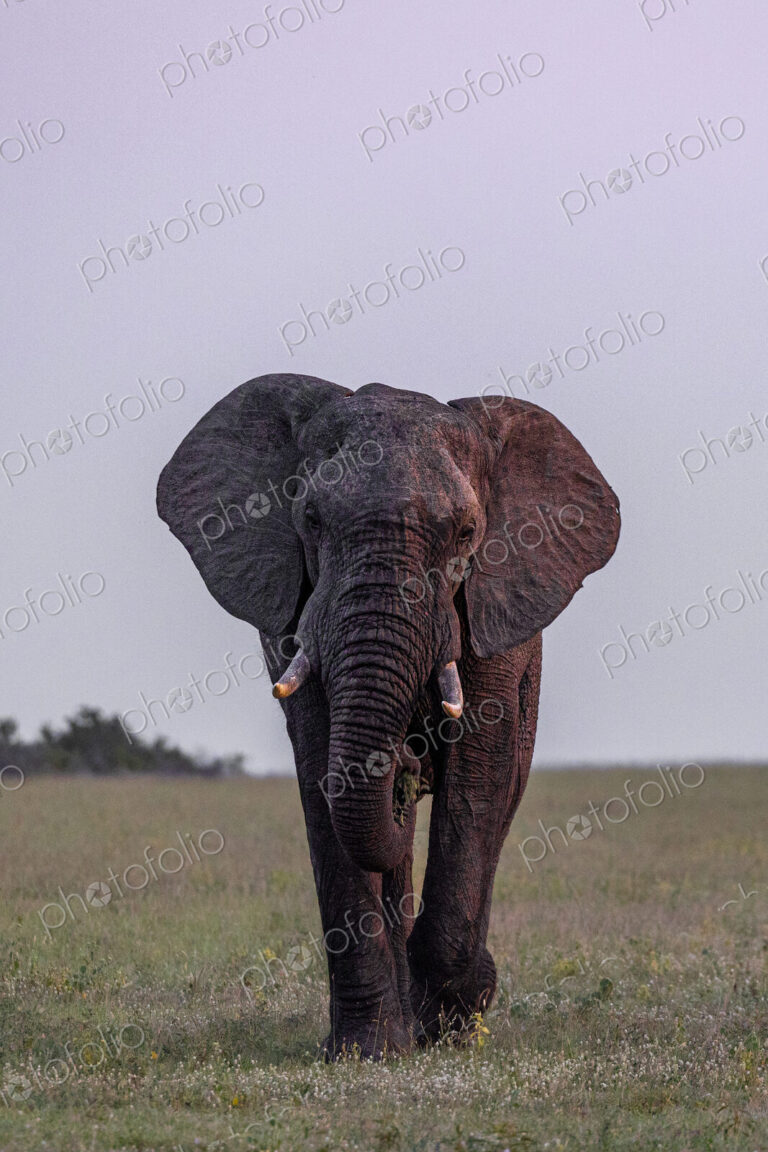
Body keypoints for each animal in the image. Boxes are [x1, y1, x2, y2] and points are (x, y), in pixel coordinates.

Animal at [156, 373, 620, 1059]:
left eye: (466, 533)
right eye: (311, 521)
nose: (406, 754)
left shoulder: (497, 604)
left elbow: (478, 776)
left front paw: (456, 1014)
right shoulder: (295, 616)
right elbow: (324, 774)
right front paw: (367, 1051)